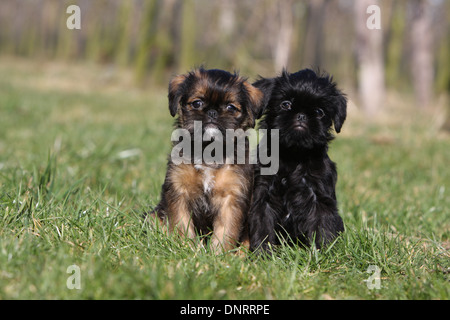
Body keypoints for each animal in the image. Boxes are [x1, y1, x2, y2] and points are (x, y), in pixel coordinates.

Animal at [153, 68, 264, 252]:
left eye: (230, 107)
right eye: (197, 103)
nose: (212, 112)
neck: (209, 152)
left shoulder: (231, 198)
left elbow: (226, 230)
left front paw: (218, 254)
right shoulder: (179, 192)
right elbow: (182, 224)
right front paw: (188, 248)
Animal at [248, 69, 346, 252]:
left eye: (319, 112)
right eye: (285, 104)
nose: (301, 115)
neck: (293, 154)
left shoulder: (319, 197)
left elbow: (323, 225)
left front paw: (325, 253)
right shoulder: (263, 195)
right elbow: (262, 225)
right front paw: (263, 253)